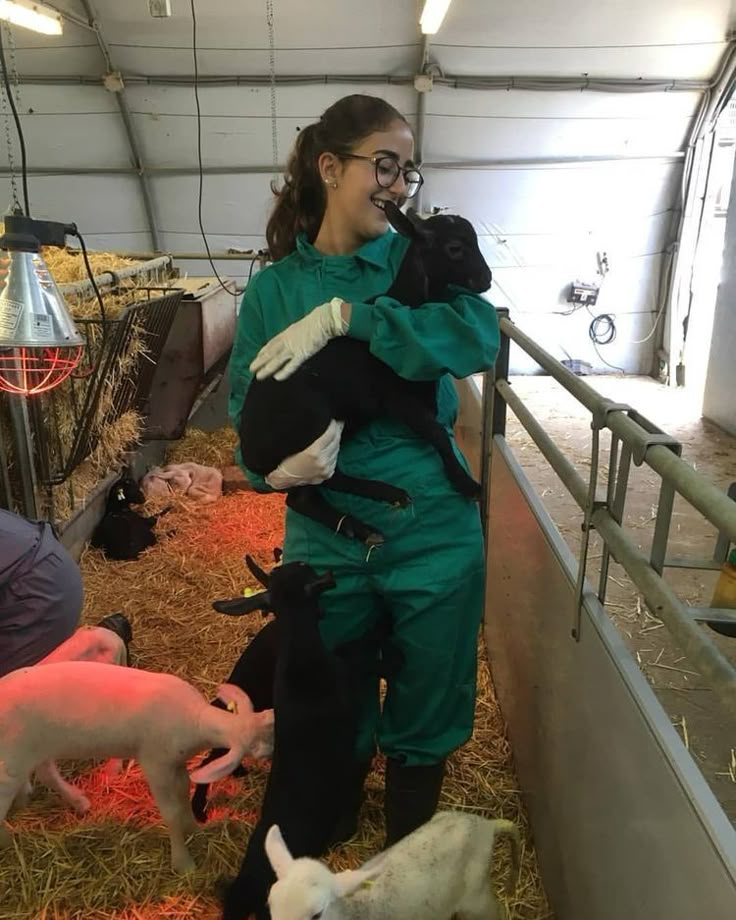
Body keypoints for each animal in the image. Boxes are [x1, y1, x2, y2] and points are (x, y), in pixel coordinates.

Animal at [0, 660, 274, 868]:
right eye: (260, 748)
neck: (197, 720)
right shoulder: (155, 763)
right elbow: (171, 812)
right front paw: (183, 863)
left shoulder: (175, 763)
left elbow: (183, 794)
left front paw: (194, 830)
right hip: (13, 757)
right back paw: (7, 841)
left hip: (38, 746)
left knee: (45, 772)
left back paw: (75, 801)